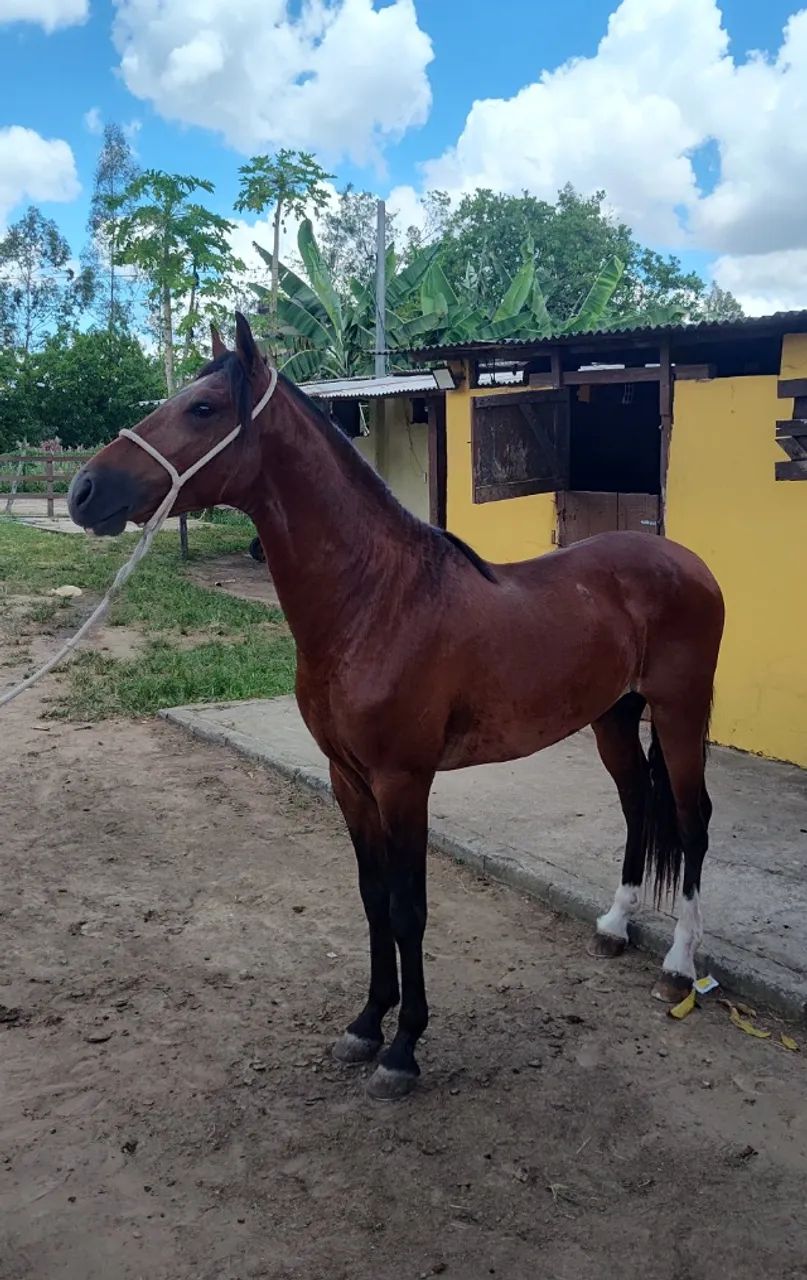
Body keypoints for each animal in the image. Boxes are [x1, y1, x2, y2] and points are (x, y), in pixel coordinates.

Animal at [68, 313, 724, 1101]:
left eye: (203, 408)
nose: (82, 490)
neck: (374, 602)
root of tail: (687, 562)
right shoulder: (348, 780)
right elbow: (371, 898)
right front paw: (365, 1024)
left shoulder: (402, 782)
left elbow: (409, 910)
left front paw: (404, 1047)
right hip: (613, 717)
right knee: (634, 806)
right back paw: (615, 927)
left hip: (679, 713)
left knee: (690, 822)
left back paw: (679, 966)